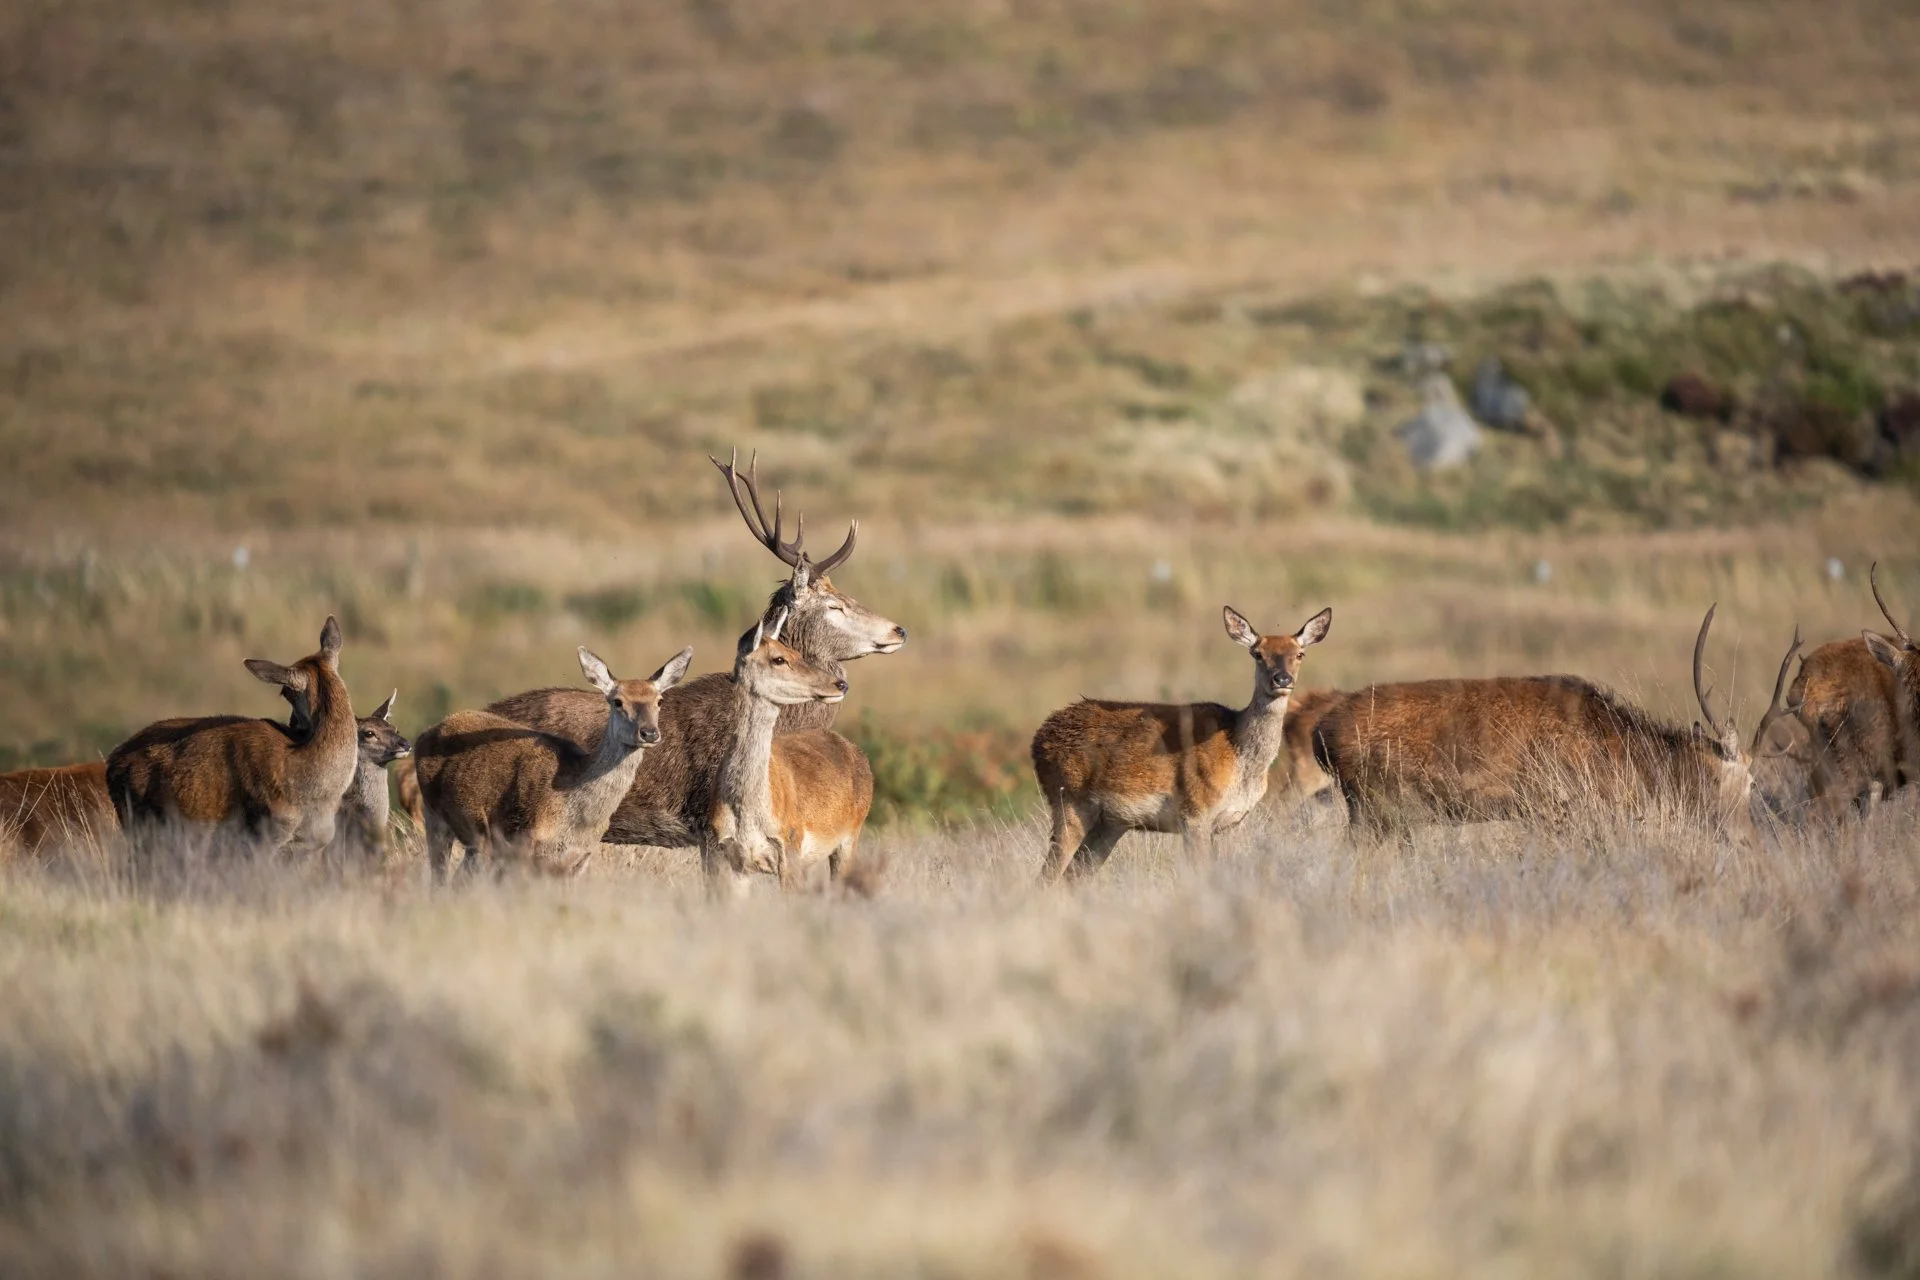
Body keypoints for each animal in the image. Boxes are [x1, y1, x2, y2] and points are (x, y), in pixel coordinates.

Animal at [106, 616, 359, 859]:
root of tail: (112, 763)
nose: (293, 724)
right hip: (142, 824)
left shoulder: (313, 846)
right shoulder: (262, 833)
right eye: (284, 692)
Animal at [412, 646, 692, 881]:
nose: (649, 733)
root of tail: (427, 732)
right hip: (434, 816)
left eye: (659, 701)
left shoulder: (580, 858)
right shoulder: (526, 846)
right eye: (617, 701)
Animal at [703, 608, 876, 897]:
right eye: (778, 659)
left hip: (852, 833)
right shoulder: (724, 854)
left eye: (795, 651)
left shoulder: (791, 846)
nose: (840, 684)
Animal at [1031, 604, 1333, 880]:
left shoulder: (1227, 823)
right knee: (1047, 875)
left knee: (1073, 876)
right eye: (1258, 653)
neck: (1240, 757)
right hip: (1068, 800)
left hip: (1111, 823)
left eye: (1299, 654)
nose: (1282, 679)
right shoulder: (1195, 813)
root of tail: (1039, 740)